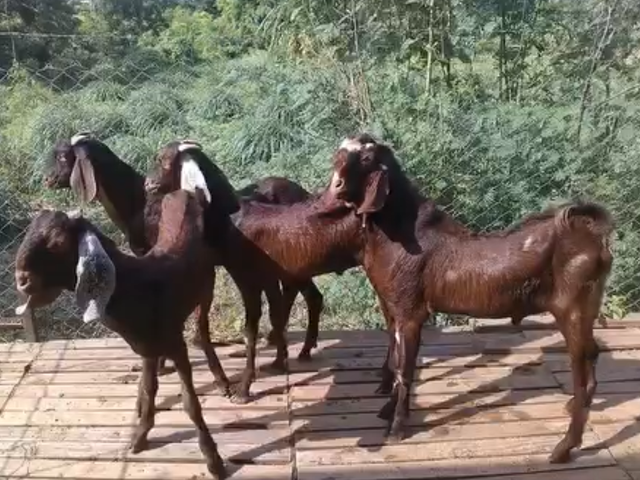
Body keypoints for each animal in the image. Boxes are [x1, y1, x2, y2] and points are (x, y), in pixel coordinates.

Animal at [14, 188, 229, 479]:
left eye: (57, 242)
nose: (21, 280)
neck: (136, 286)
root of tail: (182, 192)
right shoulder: (146, 345)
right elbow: (149, 390)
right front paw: (140, 434)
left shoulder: (175, 342)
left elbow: (190, 403)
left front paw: (213, 459)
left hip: (207, 288)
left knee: (202, 330)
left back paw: (221, 378)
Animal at [46, 135, 325, 361]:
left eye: (63, 156)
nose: (47, 179)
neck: (138, 205)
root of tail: (305, 194)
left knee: (309, 294)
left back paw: (301, 348)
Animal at [327, 133, 614, 464]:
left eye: (365, 159)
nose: (335, 186)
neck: (404, 235)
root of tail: (593, 238)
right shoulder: (394, 310)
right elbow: (398, 362)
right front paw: (388, 411)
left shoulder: (410, 312)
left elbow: (405, 370)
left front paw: (396, 429)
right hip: (587, 306)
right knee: (593, 356)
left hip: (572, 307)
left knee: (581, 370)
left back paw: (563, 448)